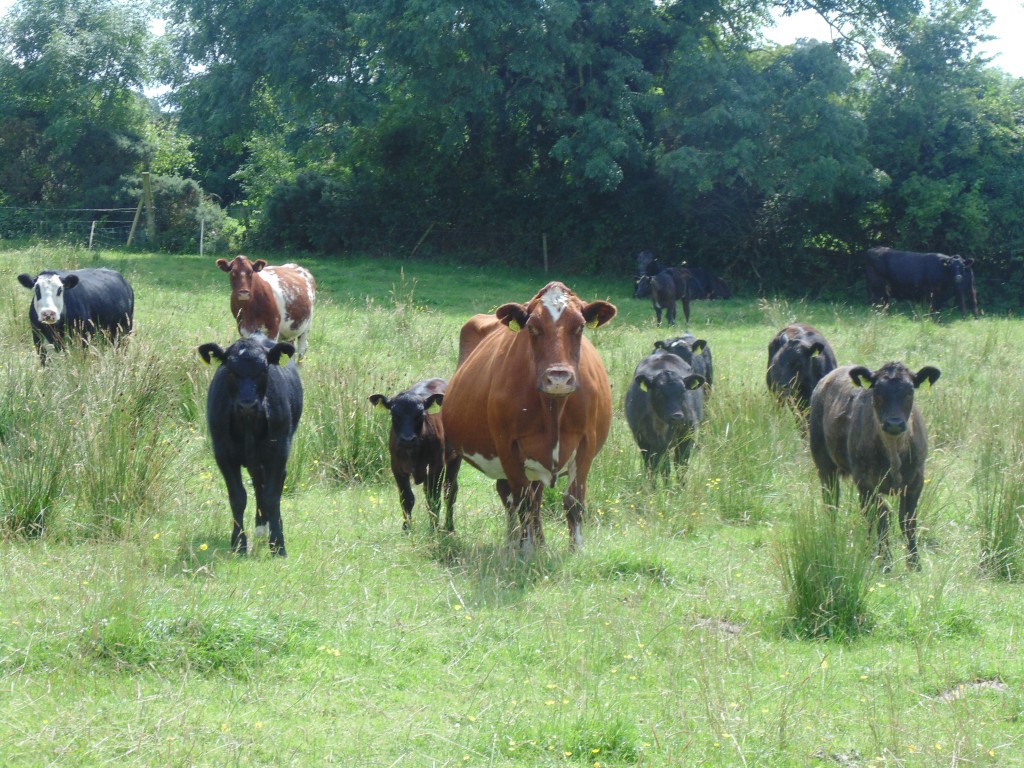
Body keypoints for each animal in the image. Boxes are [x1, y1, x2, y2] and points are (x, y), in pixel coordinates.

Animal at [198, 335, 303, 557]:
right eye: (230, 370)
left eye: (263, 370)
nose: (247, 404)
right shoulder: (223, 454)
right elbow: (238, 497)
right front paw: (239, 544)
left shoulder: (278, 451)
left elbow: (272, 496)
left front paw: (278, 545)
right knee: (257, 484)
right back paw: (261, 527)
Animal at [369, 378, 461, 532]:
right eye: (394, 415)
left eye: (420, 414)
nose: (407, 439)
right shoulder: (397, 467)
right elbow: (407, 498)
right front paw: (406, 529)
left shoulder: (437, 465)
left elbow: (433, 498)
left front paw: (434, 529)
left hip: (455, 458)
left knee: (450, 491)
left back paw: (449, 527)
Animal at [442, 281, 617, 551]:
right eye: (533, 327)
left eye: (579, 326)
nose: (558, 378)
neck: (553, 407)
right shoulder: (508, 446)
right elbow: (523, 500)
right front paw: (525, 550)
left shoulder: (587, 442)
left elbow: (574, 500)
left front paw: (576, 549)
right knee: (471, 491)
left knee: (531, 498)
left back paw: (536, 542)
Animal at [808, 362, 941, 569]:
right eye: (877, 390)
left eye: (910, 390)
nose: (894, 423)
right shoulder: (866, 482)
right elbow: (881, 516)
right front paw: (885, 562)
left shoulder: (916, 481)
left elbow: (907, 520)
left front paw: (914, 563)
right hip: (824, 465)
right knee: (832, 503)